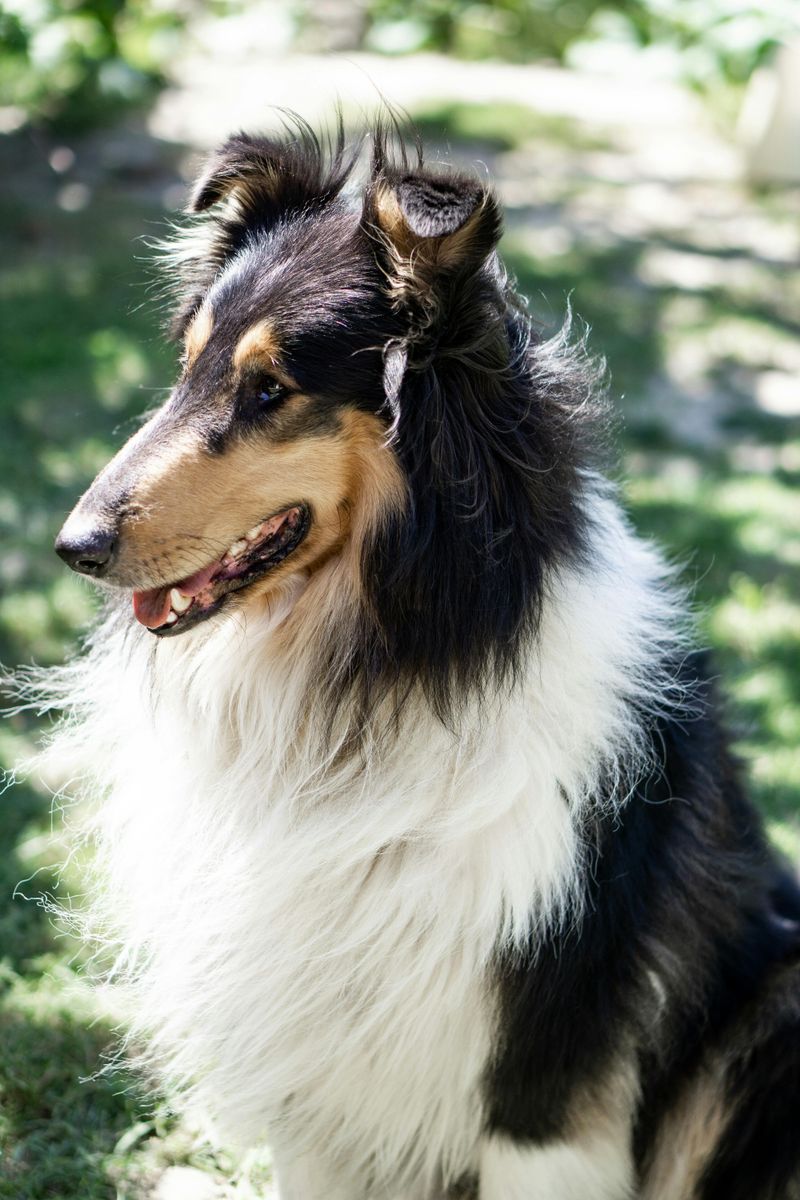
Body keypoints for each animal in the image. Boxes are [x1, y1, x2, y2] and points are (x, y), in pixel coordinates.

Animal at [48, 124, 800, 1200]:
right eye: (185, 367)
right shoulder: (317, 1094)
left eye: (270, 390)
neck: (381, 671)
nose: (75, 546)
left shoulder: (540, 1087)